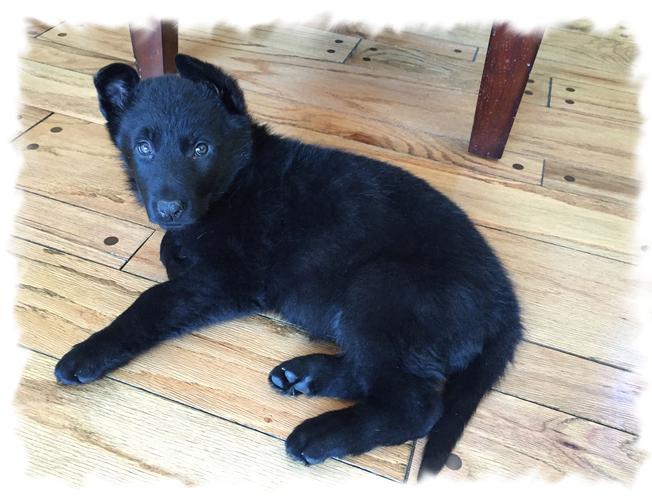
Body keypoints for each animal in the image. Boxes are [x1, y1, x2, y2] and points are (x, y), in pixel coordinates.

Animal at [54, 54, 523, 477]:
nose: (169, 208)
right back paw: (304, 376)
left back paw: (321, 434)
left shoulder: (231, 278)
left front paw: (91, 351)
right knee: (373, 374)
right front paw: (177, 249)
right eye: (143, 148)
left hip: (382, 288)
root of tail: (507, 308)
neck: (240, 177)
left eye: (202, 149)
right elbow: (171, 245)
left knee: (413, 404)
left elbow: (156, 298)